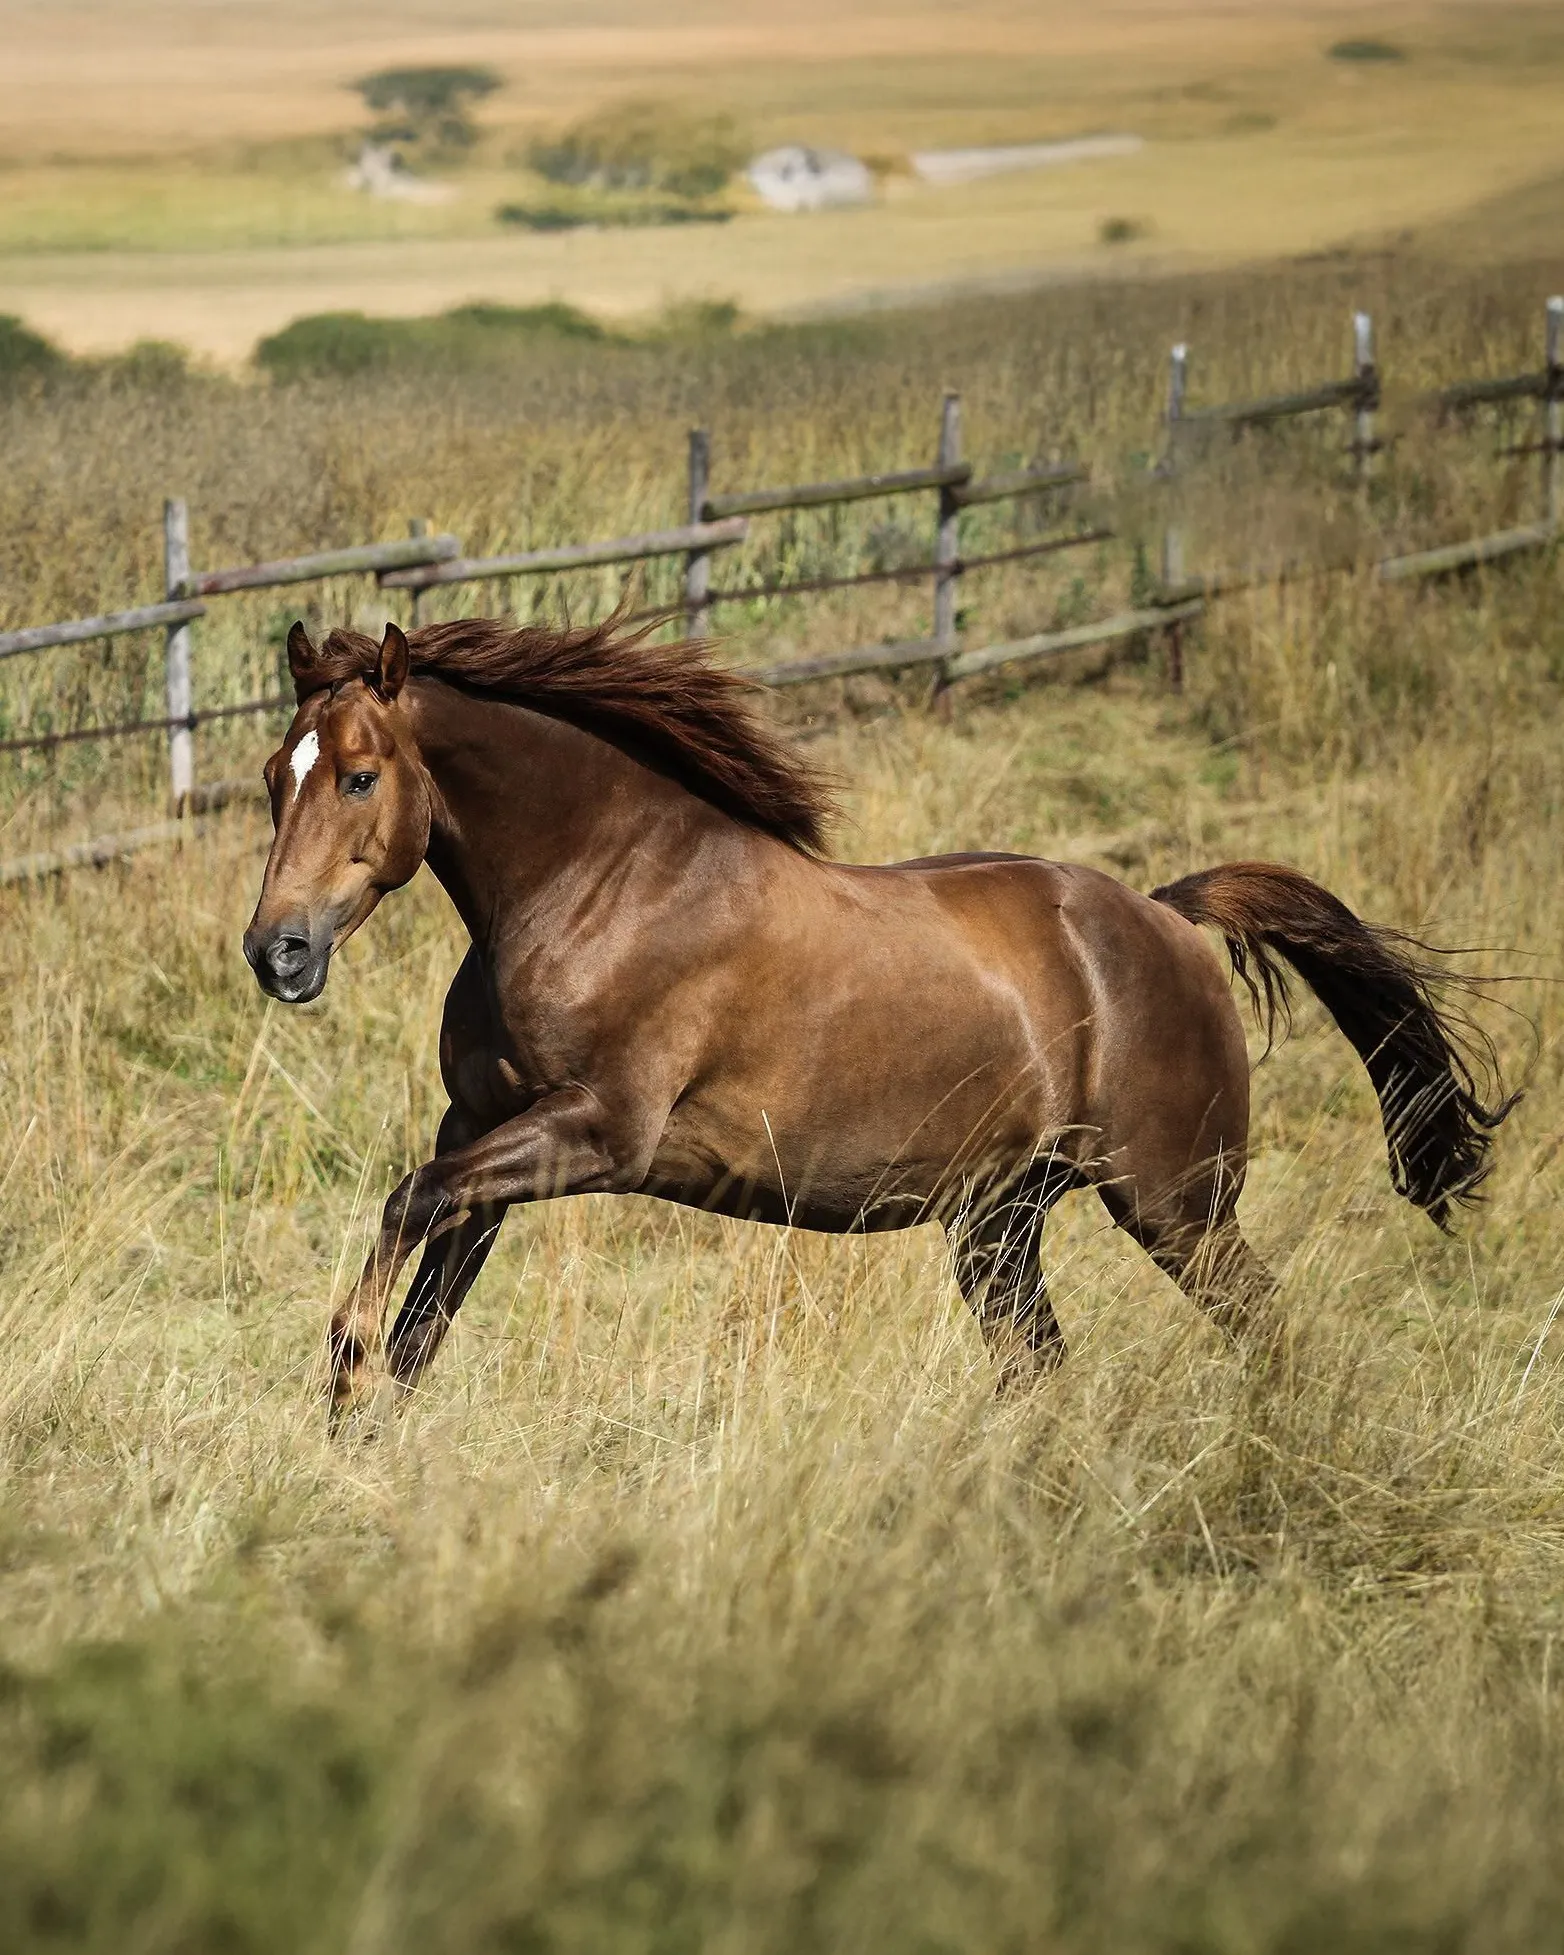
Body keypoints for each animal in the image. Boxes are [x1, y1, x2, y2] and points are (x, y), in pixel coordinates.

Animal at [243, 616, 1512, 1421]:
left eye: (359, 775)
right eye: (271, 776)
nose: (278, 952)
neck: (601, 883)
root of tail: (1165, 914)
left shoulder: (592, 1130)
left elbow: (404, 1216)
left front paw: (340, 1371)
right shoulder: (485, 1135)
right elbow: (422, 1315)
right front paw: (358, 1432)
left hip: (1175, 1204)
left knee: (1264, 1327)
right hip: (1000, 1223)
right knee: (1042, 1370)